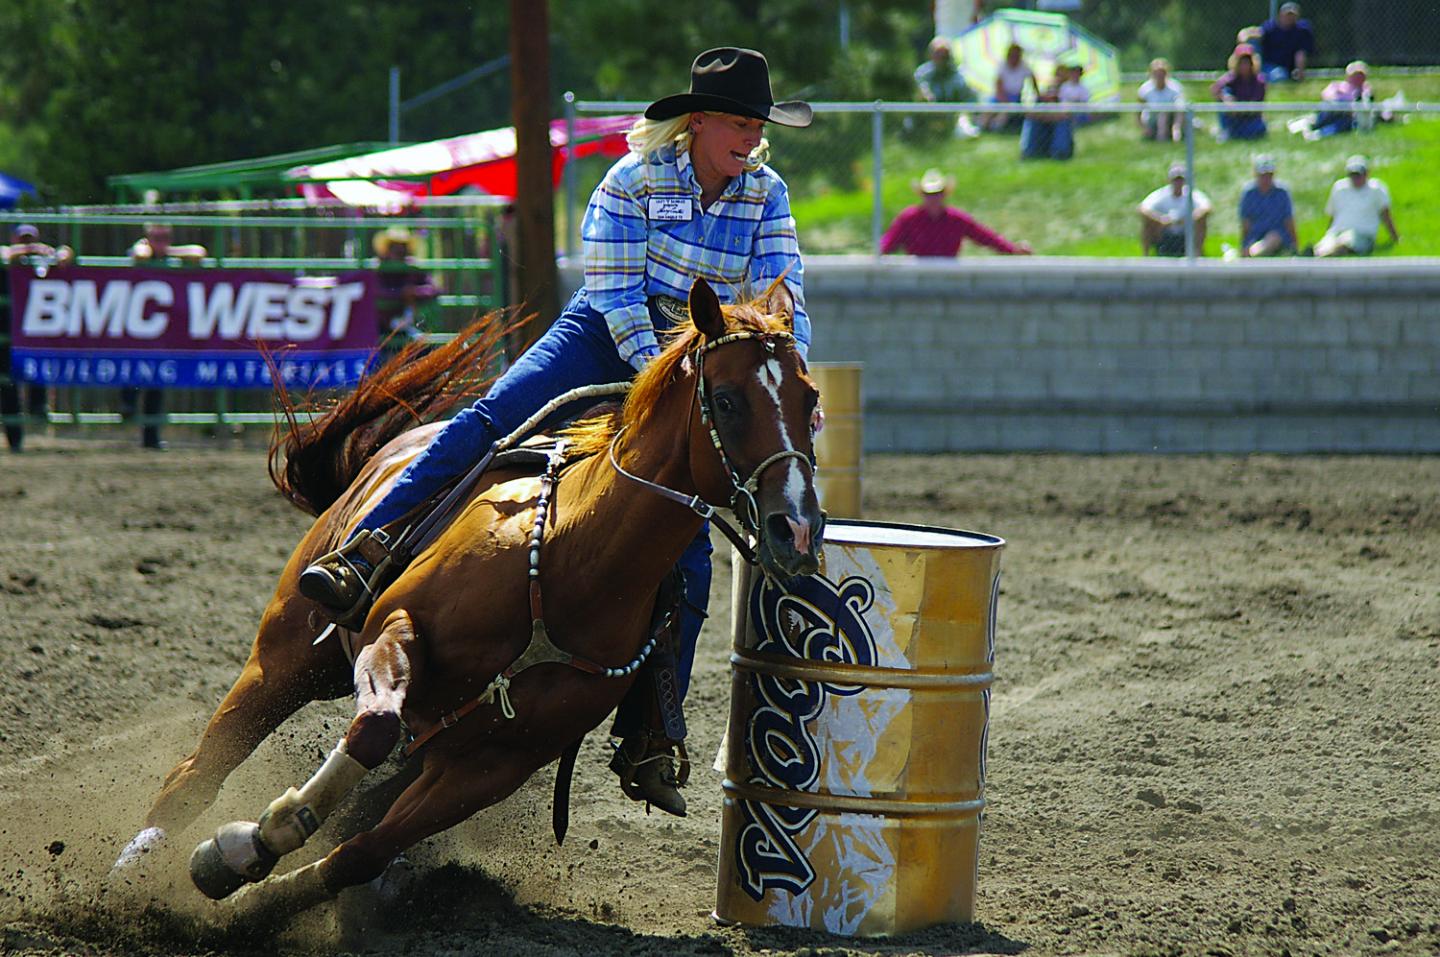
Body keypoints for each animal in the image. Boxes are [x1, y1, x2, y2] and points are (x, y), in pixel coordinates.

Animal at [110, 277, 824, 922]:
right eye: (726, 400)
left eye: (811, 399)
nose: (795, 530)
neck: (572, 558)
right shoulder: (396, 628)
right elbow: (372, 730)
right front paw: (255, 840)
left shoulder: (498, 764)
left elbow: (361, 853)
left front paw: (248, 885)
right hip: (287, 657)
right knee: (198, 770)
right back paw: (126, 875)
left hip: (427, 742)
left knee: (362, 806)